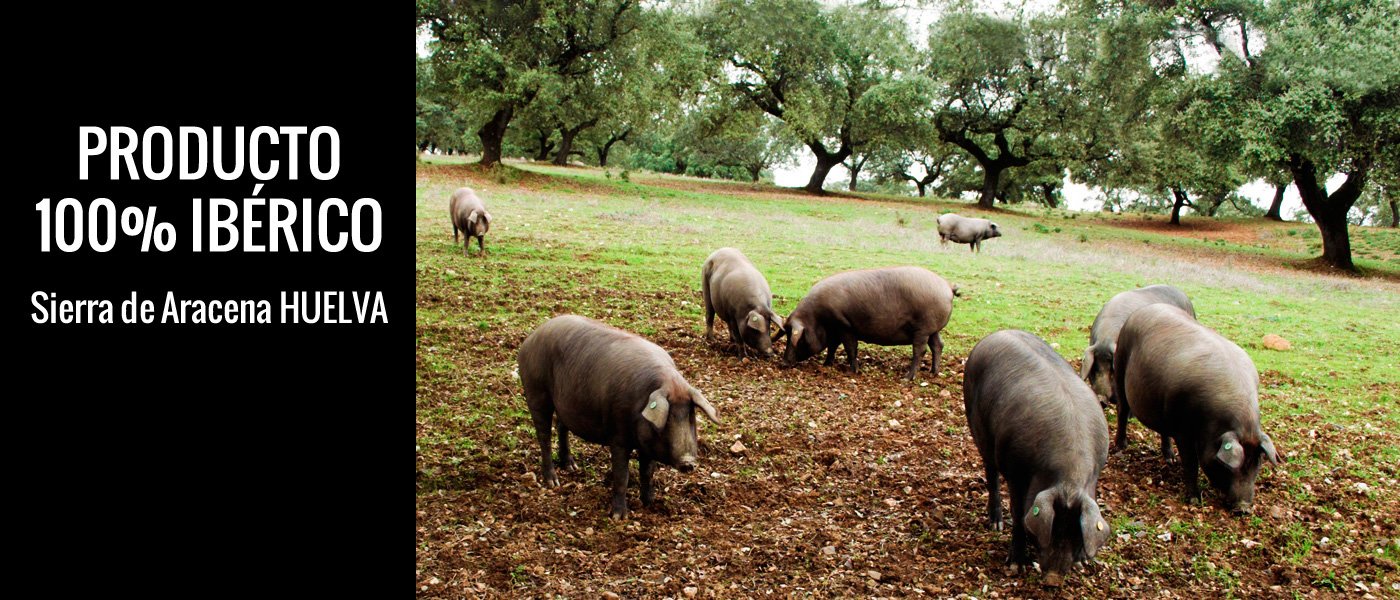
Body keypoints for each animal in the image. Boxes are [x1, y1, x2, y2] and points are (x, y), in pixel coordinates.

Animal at [523, 313, 722, 520]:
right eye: (668, 418)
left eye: (691, 416)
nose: (688, 462)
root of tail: (531, 337)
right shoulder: (617, 435)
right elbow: (622, 476)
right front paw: (619, 517)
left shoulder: (647, 444)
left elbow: (647, 472)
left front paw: (650, 504)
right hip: (536, 392)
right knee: (544, 436)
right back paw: (553, 482)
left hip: (564, 403)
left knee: (562, 426)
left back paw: (571, 467)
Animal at [772, 267, 957, 377]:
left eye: (797, 338)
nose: (783, 363)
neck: (818, 318)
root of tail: (947, 286)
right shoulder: (835, 330)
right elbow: (832, 346)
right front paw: (826, 364)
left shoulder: (845, 326)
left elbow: (850, 348)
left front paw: (853, 371)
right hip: (933, 328)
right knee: (938, 345)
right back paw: (934, 373)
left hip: (922, 328)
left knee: (921, 350)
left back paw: (907, 378)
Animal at [968, 327, 1108, 584]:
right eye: (1052, 528)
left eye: (1076, 534)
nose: (1053, 579)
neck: (1069, 477)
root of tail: (997, 333)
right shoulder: (1016, 472)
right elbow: (1019, 514)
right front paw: (1017, 566)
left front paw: (1082, 562)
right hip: (979, 430)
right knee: (991, 474)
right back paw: (996, 525)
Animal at [1108, 306, 1282, 511]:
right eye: (1229, 466)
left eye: (1257, 462)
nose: (1244, 508)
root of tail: (1145, 309)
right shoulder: (1183, 430)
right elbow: (1191, 463)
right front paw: (1194, 500)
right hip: (1120, 366)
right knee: (1122, 411)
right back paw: (1121, 446)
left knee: (1163, 430)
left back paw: (1170, 459)